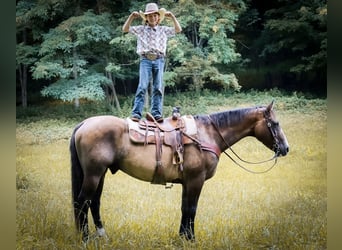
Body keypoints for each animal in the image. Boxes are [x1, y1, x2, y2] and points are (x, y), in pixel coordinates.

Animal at [69, 100, 288, 241]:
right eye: (276, 124)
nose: (286, 148)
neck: (207, 134)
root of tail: (84, 124)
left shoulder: (187, 182)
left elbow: (185, 208)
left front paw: (183, 237)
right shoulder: (195, 180)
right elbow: (192, 209)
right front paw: (191, 239)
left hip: (100, 174)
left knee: (94, 203)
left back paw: (101, 235)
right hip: (94, 174)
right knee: (82, 202)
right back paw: (85, 238)